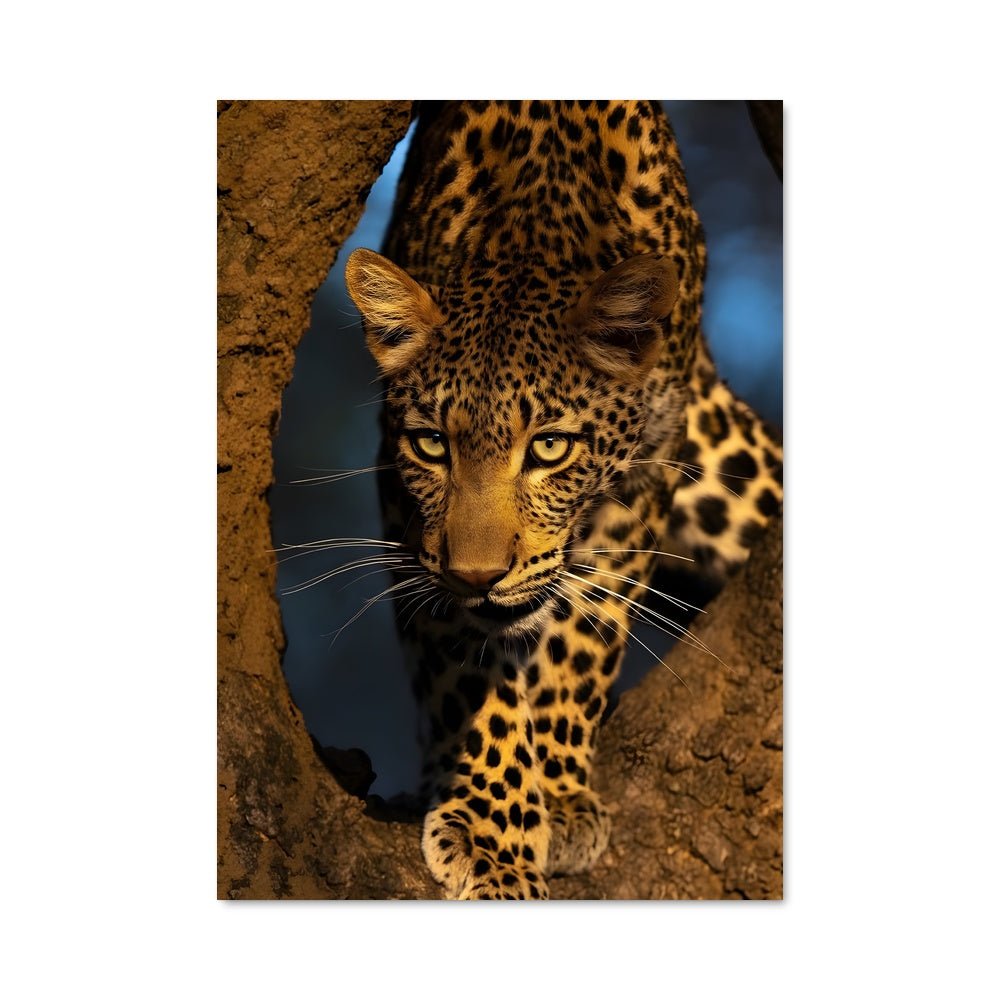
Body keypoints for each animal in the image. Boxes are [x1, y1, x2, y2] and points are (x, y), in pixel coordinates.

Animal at [343, 100, 782, 899]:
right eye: (433, 446)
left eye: (549, 449)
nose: (478, 576)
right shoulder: (405, 504)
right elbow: (466, 669)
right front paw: (489, 830)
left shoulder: (644, 475)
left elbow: (588, 628)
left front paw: (559, 790)